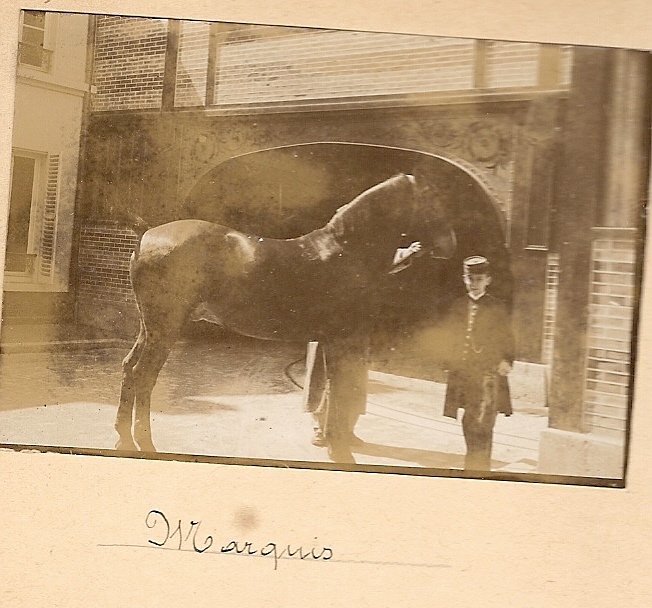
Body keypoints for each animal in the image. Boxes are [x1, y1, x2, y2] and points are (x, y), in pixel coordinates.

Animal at [116, 173, 454, 458]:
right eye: (434, 200)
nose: (451, 244)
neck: (348, 251)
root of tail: (147, 233)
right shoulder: (342, 340)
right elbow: (340, 392)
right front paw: (339, 450)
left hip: (150, 328)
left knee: (129, 368)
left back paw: (124, 439)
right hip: (166, 329)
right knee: (143, 375)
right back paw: (144, 442)